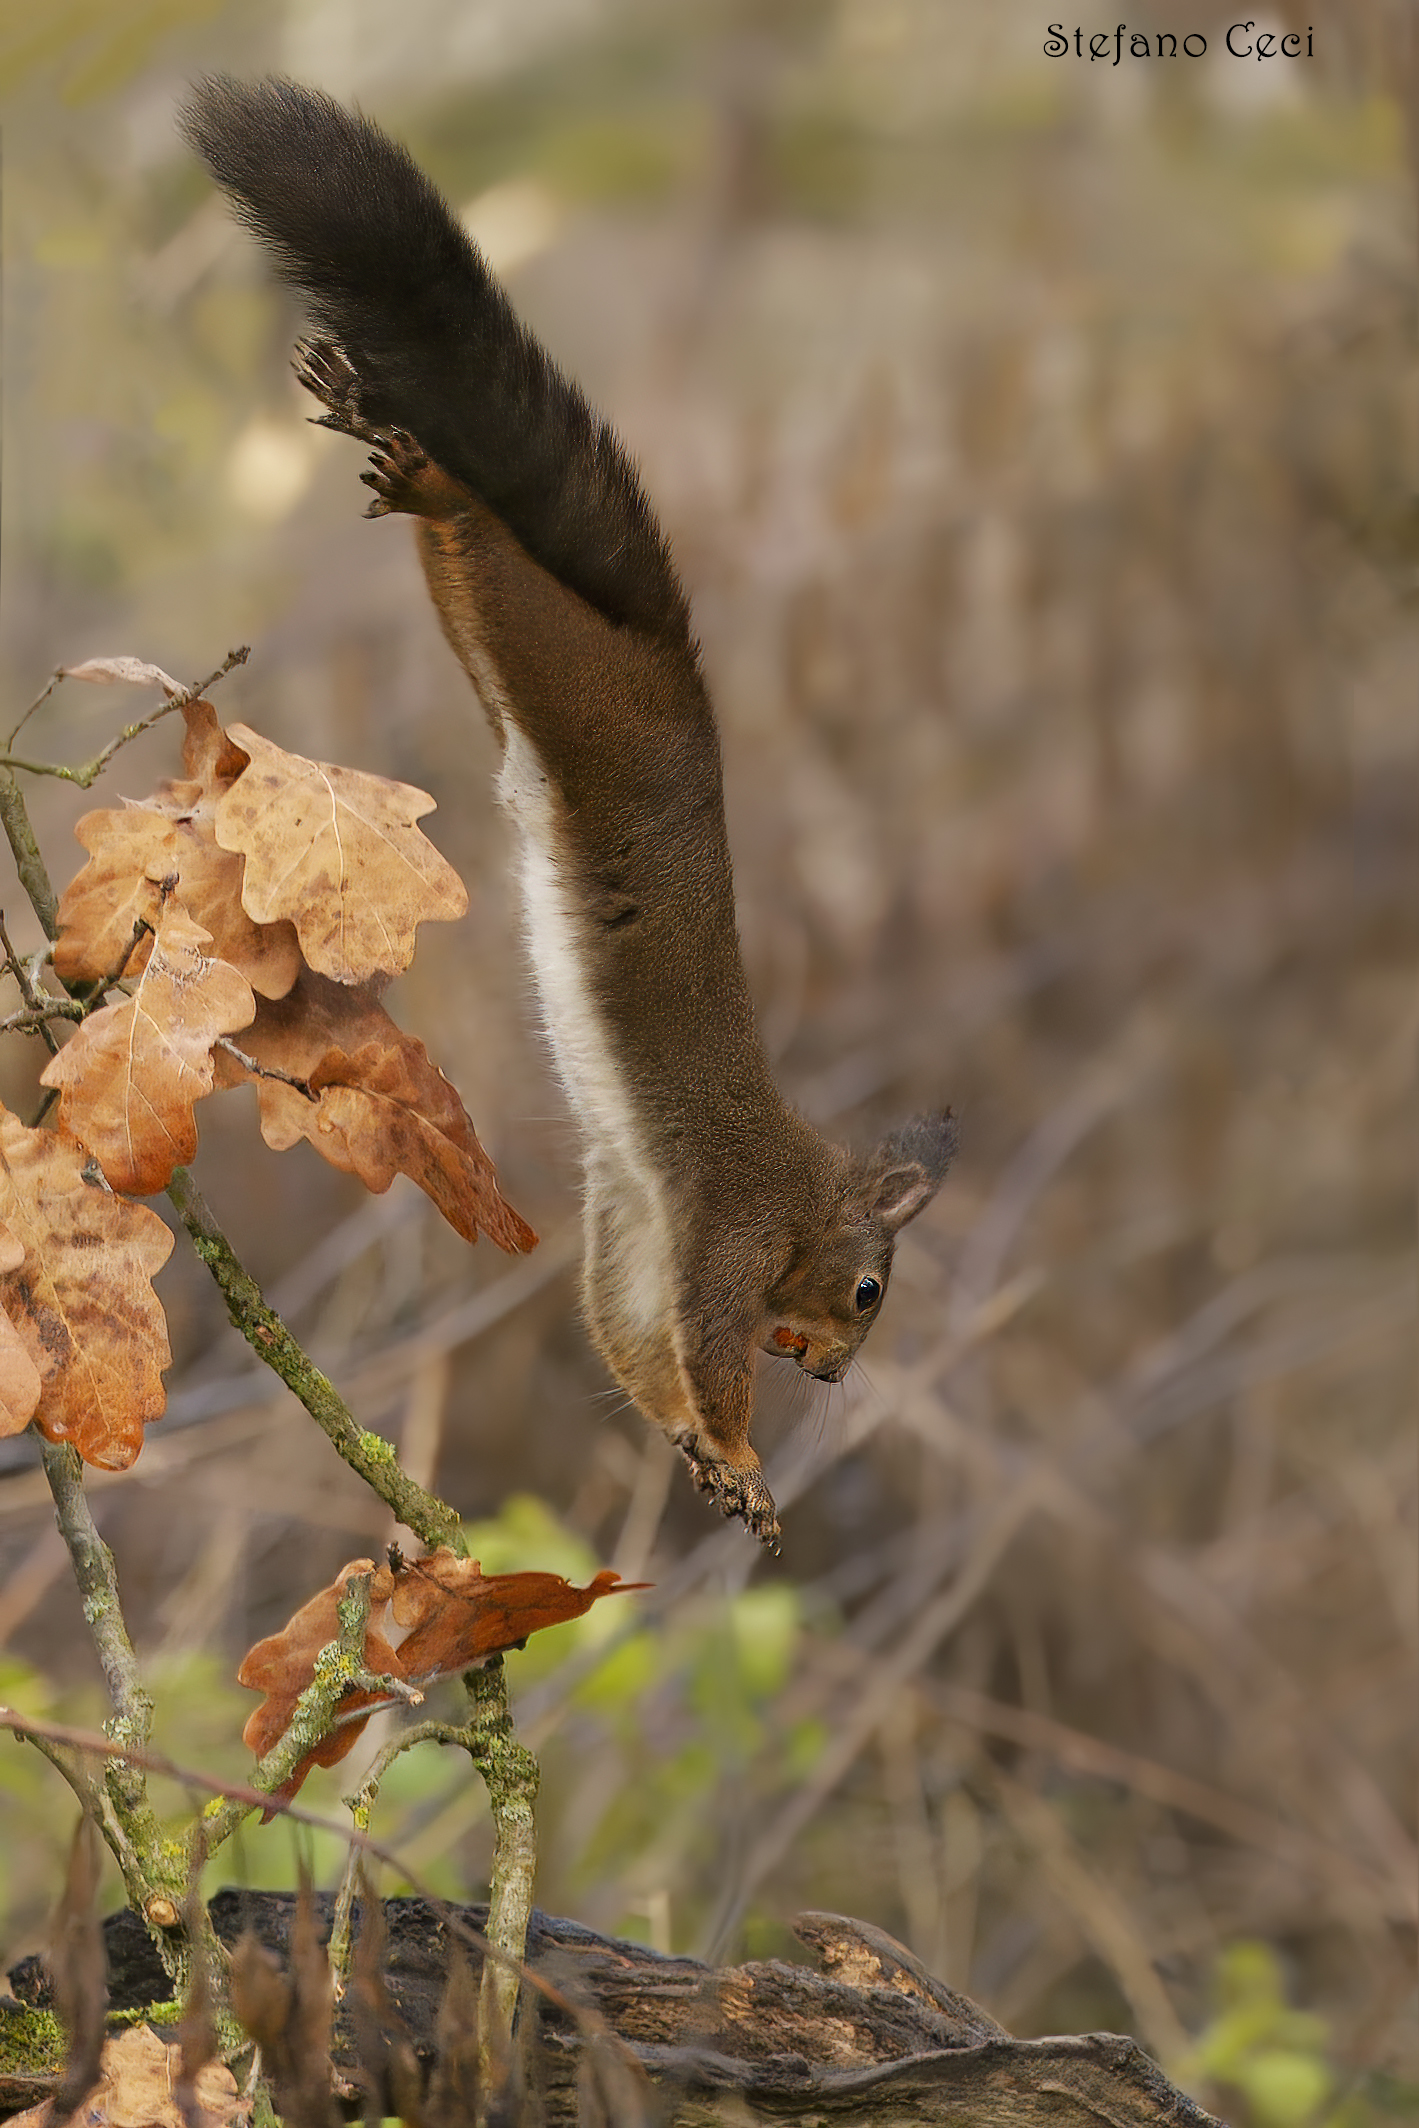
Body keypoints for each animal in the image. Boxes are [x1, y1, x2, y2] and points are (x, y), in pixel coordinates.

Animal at [180, 77, 957, 1547]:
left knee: (464, 553)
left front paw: (706, 1463)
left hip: (509, 663)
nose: (832, 1374)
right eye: (870, 1291)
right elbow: (702, 1350)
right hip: (581, 677)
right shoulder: (721, 1236)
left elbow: (630, 1345)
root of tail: (675, 672)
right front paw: (746, 1450)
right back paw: (424, 467)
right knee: (494, 541)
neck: (790, 1188)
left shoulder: (633, 1231)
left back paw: (373, 415)